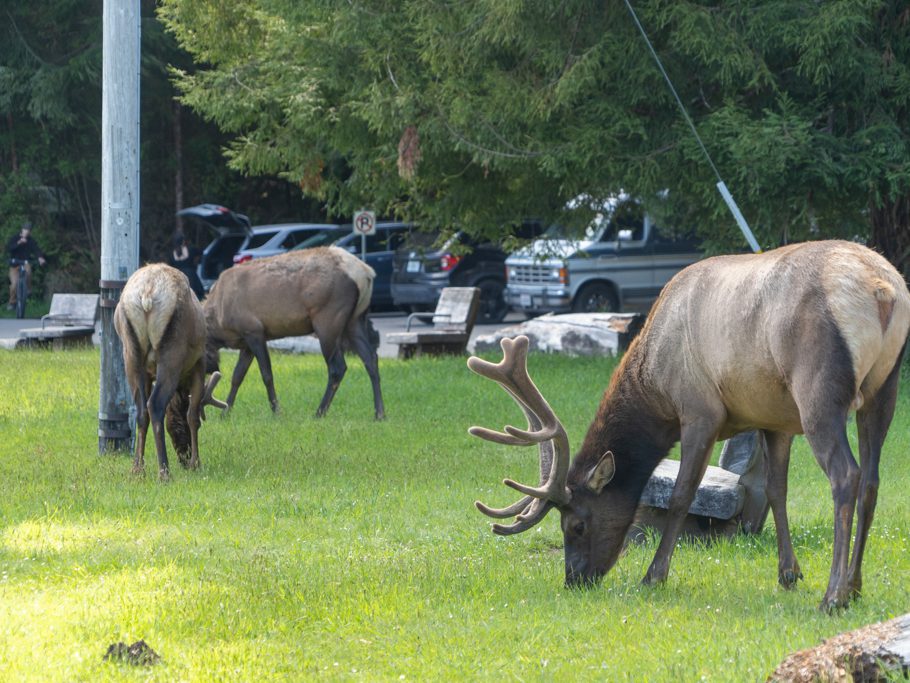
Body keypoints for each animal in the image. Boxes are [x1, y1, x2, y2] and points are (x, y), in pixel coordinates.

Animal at [114, 262, 228, 480]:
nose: (185, 457)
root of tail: (147, 293)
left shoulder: (148, 373)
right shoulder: (198, 365)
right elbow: (193, 415)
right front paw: (196, 464)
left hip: (130, 353)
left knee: (142, 410)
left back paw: (137, 469)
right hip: (172, 351)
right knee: (155, 404)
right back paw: (164, 472)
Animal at [205, 243, 386, 420]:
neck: (218, 323)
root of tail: (366, 273)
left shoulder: (254, 331)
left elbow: (267, 375)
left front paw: (277, 412)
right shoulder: (246, 340)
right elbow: (237, 376)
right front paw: (225, 412)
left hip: (327, 320)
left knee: (338, 367)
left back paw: (319, 412)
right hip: (355, 319)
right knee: (371, 359)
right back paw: (380, 414)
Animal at [470, 242, 910, 616]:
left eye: (576, 524)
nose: (574, 579)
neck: (654, 384)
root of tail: (883, 291)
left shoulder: (700, 411)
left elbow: (682, 495)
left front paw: (653, 575)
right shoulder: (775, 418)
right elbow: (776, 491)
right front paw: (788, 573)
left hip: (818, 387)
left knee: (846, 475)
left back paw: (834, 595)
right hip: (883, 389)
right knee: (872, 480)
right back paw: (854, 584)